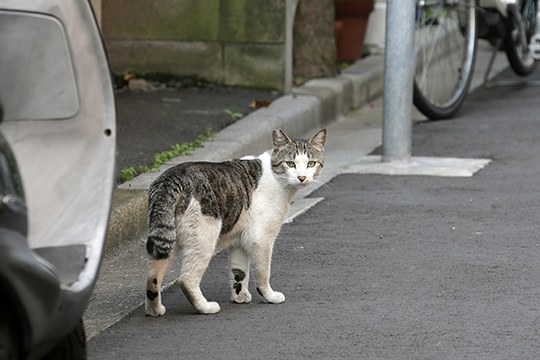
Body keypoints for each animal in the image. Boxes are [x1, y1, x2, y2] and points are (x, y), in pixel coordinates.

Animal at [143, 128, 326, 316]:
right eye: (290, 163)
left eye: (311, 163)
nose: (302, 177)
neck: (276, 179)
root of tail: (170, 179)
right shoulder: (261, 239)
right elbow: (263, 272)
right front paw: (269, 296)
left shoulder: (239, 239)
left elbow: (239, 271)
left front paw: (240, 296)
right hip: (203, 238)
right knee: (186, 279)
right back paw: (205, 307)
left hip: (167, 238)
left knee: (152, 275)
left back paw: (154, 310)